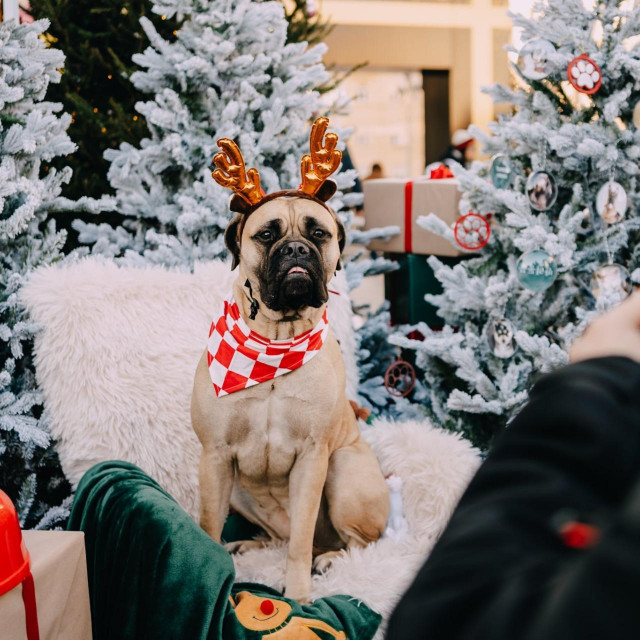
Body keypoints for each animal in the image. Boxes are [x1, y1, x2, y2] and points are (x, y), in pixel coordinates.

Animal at [190, 117, 390, 604]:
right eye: (267, 234)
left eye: (318, 233)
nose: (297, 250)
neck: (275, 342)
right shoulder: (215, 457)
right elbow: (209, 524)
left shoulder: (312, 458)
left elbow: (300, 537)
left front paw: (297, 594)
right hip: (240, 490)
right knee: (276, 535)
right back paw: (251, 545)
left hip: (344, 470)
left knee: (354, 543)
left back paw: (332, 559)